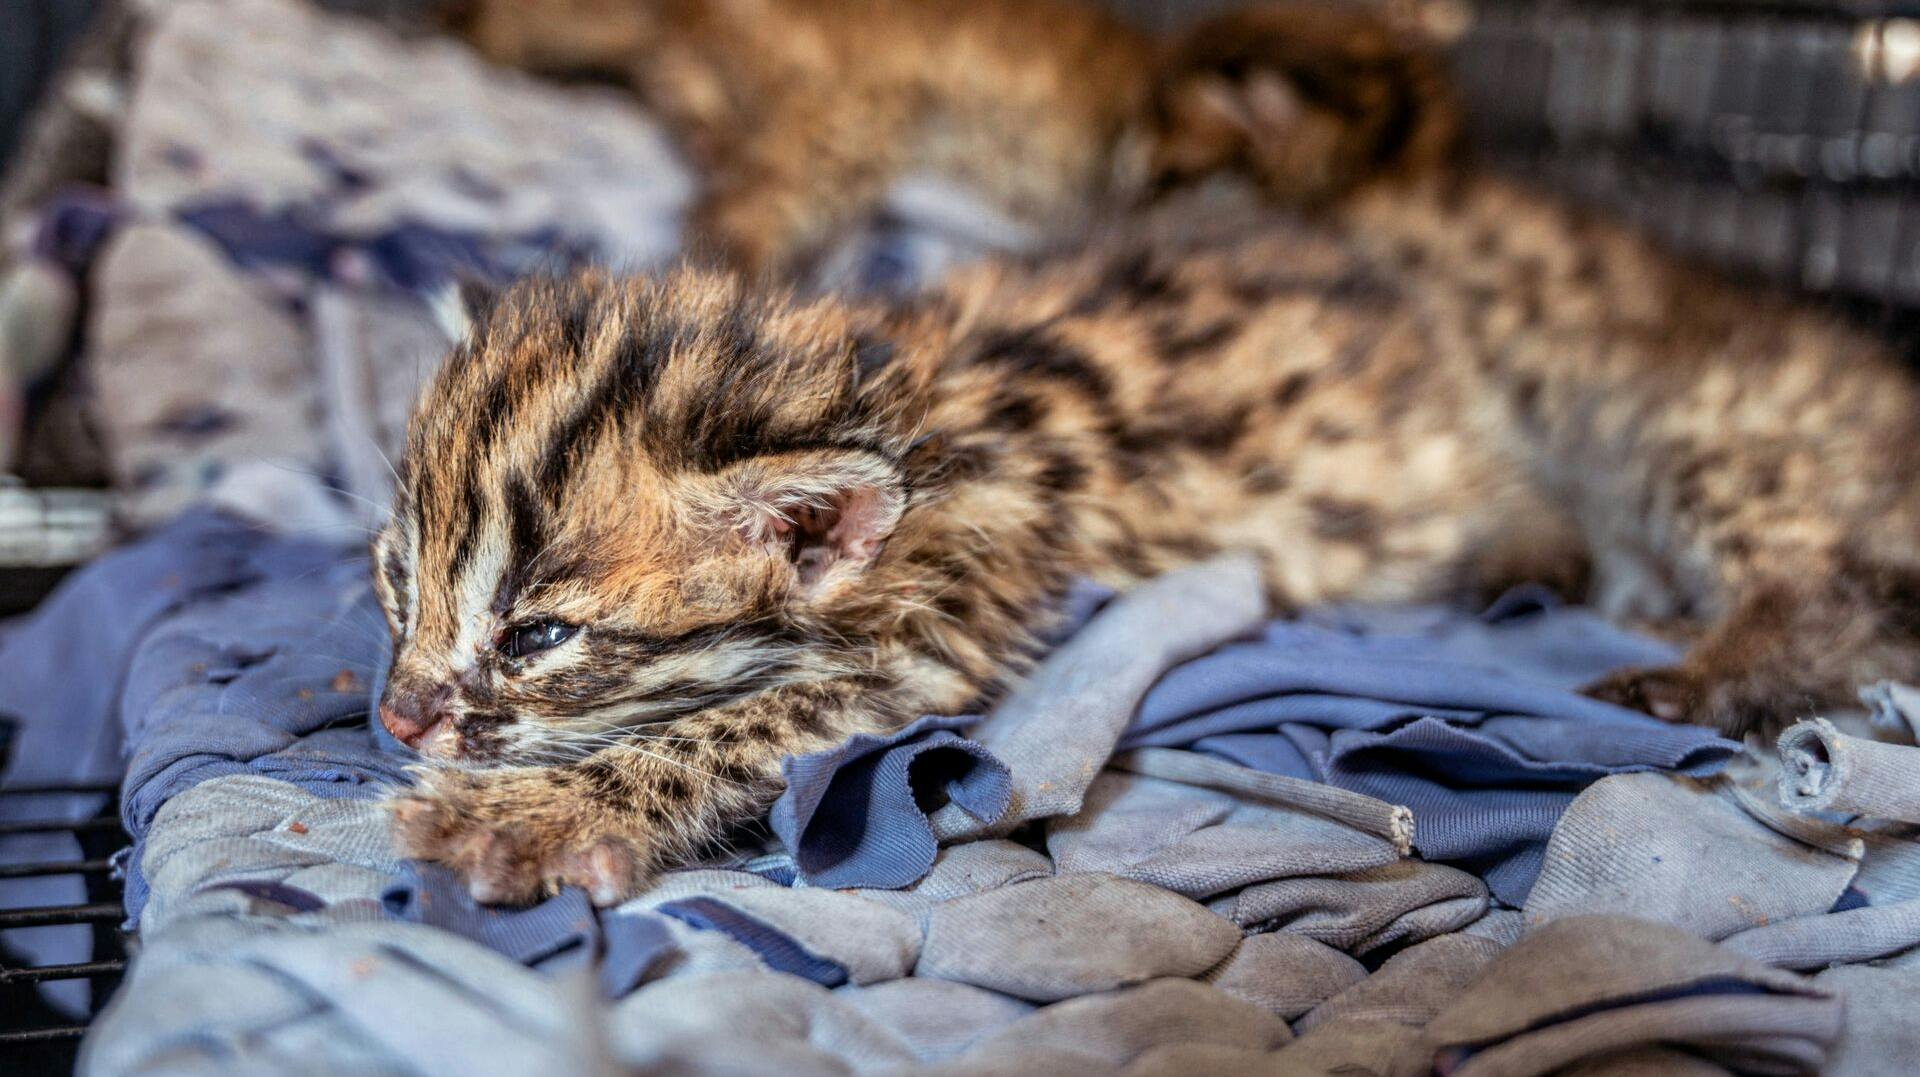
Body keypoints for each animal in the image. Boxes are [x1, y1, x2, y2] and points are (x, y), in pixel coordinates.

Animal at [374, 169, 1920, 906]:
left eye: (539, 634)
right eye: (397, 581)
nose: (393, 717)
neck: (898, 400)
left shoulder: (945, 621)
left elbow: (732, 726)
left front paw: (525, 819)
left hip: (1681, 416)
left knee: (1828, 575)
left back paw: (1687, 672)